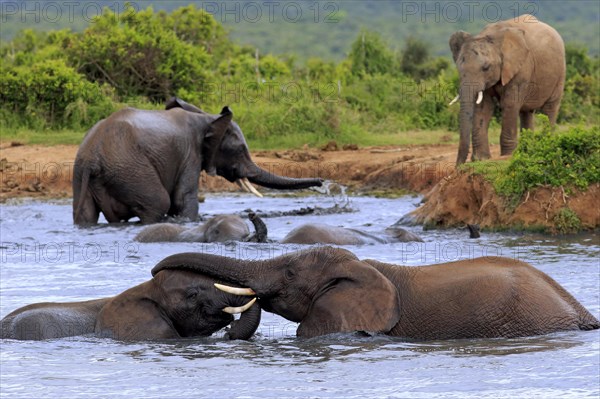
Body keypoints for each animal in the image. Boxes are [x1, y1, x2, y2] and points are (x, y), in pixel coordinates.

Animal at [74, 97, 324, 225]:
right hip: (129, 168)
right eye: (240, 150)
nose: (322, 182)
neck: (206, 117)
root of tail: (92, 157)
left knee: (85, 214)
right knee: (158, 203)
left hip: (82, 173)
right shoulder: (189, 155)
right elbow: (182, 200)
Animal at [450, 13, 568, 164]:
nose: (458, 166)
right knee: (526, 112)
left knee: (550, 108)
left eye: (486, 68)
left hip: (560, 72)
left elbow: (509, 104)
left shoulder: (520, 69)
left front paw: (507, 156)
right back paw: (527, 149)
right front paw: (481, 159)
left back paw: (547, 143)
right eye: (459, 68)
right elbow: (483, 107)